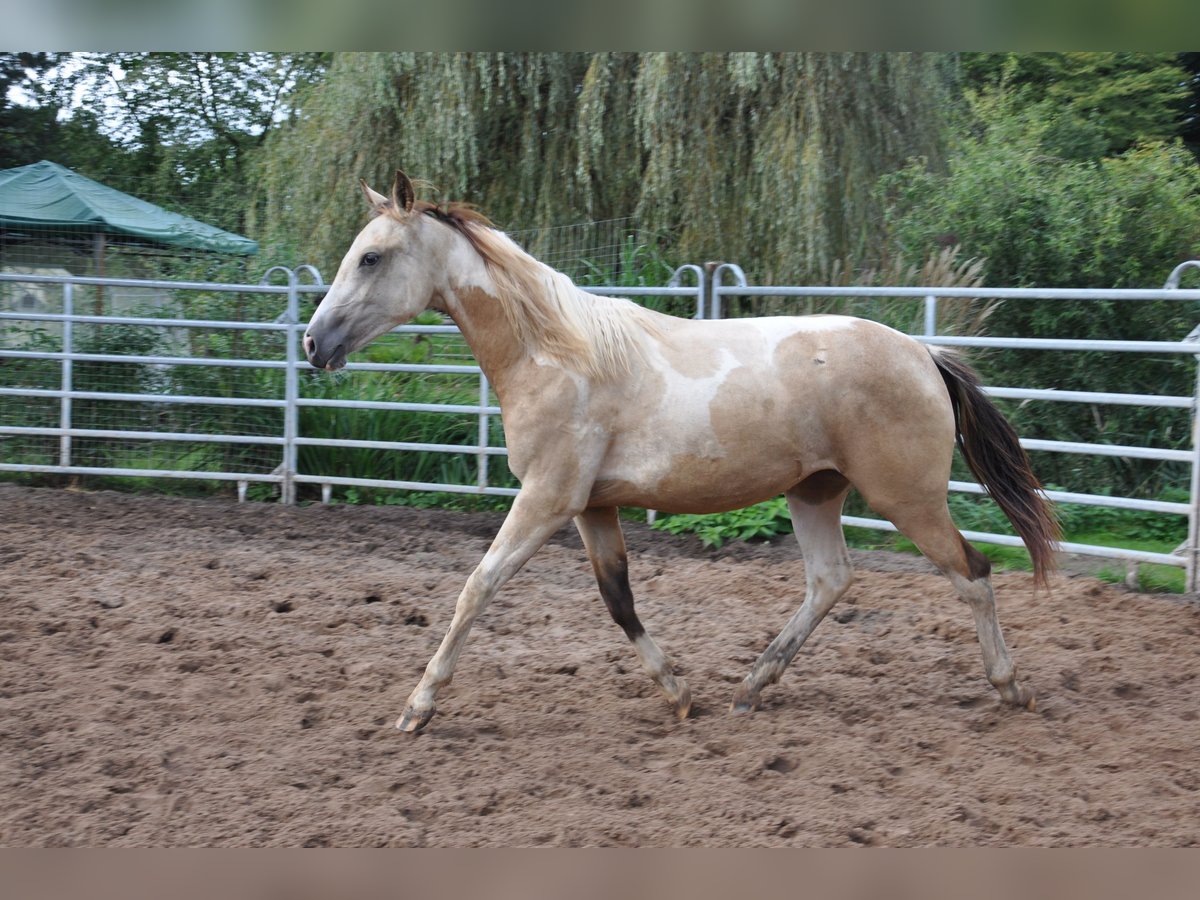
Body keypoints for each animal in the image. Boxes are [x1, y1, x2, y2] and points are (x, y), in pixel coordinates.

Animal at [303, 170, 1059, 733]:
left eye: (371, 256)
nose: (314, 342)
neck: (556, 354)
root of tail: (924, 354)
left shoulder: (546, 498)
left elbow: (477, 587)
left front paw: (417, 708)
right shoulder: (591, 507)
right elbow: (618, 600)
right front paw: (679, 693)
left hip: (908, 499)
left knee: (972, 573)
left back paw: (1010, 687)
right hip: (816, 491)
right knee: (830, 580)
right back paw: (750, 687)